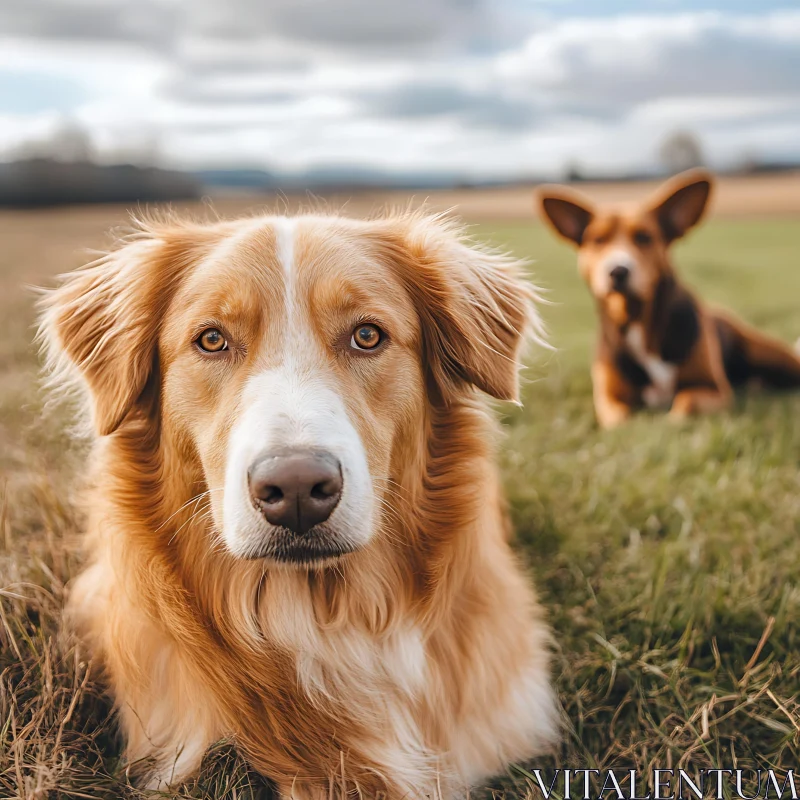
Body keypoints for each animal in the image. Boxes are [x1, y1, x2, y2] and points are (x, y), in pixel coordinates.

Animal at [536, 170, 800, 428]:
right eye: (598, 240)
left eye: (644, 237)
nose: (618, 271)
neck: (638, 321)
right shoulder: (609, 399)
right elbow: (619, 420)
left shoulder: (715, 390)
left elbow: (686, 401)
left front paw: (673, 419)